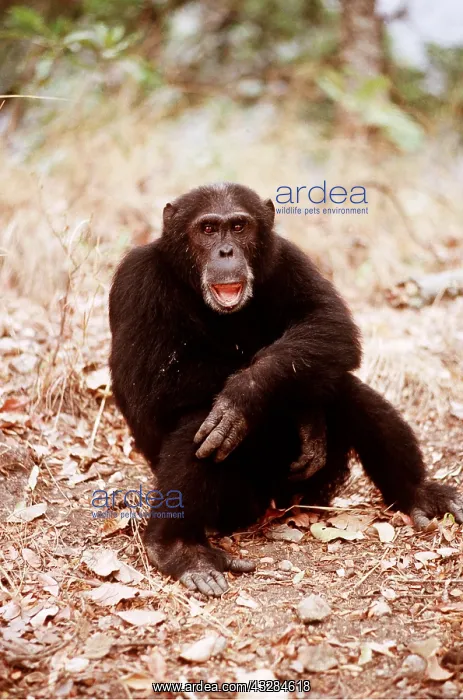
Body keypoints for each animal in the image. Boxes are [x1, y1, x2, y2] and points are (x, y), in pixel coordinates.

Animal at [109, 183, 463, 597]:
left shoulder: (289, 258)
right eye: (208, 229)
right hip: (235, 507)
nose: (225, 251)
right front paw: (292, 412)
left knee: (347, 388)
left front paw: (260, 396)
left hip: (310, 488)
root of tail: (273, 506)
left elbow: (329, 323)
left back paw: (418, 493)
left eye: (239, 226)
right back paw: (177, 548)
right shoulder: (136, 280)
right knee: (201, 420)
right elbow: (151, 380)